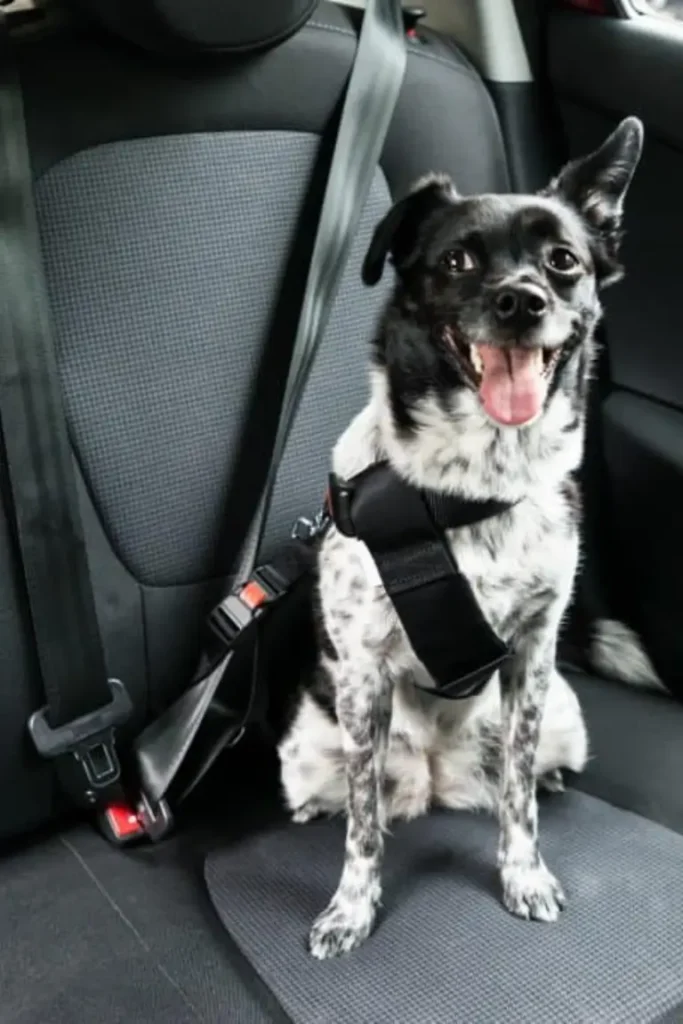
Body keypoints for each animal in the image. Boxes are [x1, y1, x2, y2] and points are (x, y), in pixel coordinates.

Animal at [278, 117, 647, 958]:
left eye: (562, 260)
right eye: (457, 260)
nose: (520, 301)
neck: (469, 488)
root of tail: (437, 780)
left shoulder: (531, 656)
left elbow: (517, 799)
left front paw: (523, 874)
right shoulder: (362, 677)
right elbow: (362, 829)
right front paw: (350, 908)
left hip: (563, 714)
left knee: (523, 773)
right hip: (304, 747)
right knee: (348, 797)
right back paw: (322, 808)